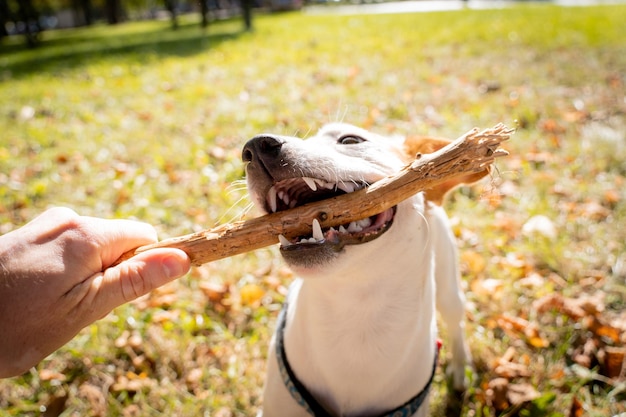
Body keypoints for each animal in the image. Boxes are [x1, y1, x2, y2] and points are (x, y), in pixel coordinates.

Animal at [239, 123, 482, 416]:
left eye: (350, 140)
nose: (254, 146)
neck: (357, 309)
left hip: (448, 285)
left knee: (456, 321)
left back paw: (460, 369)